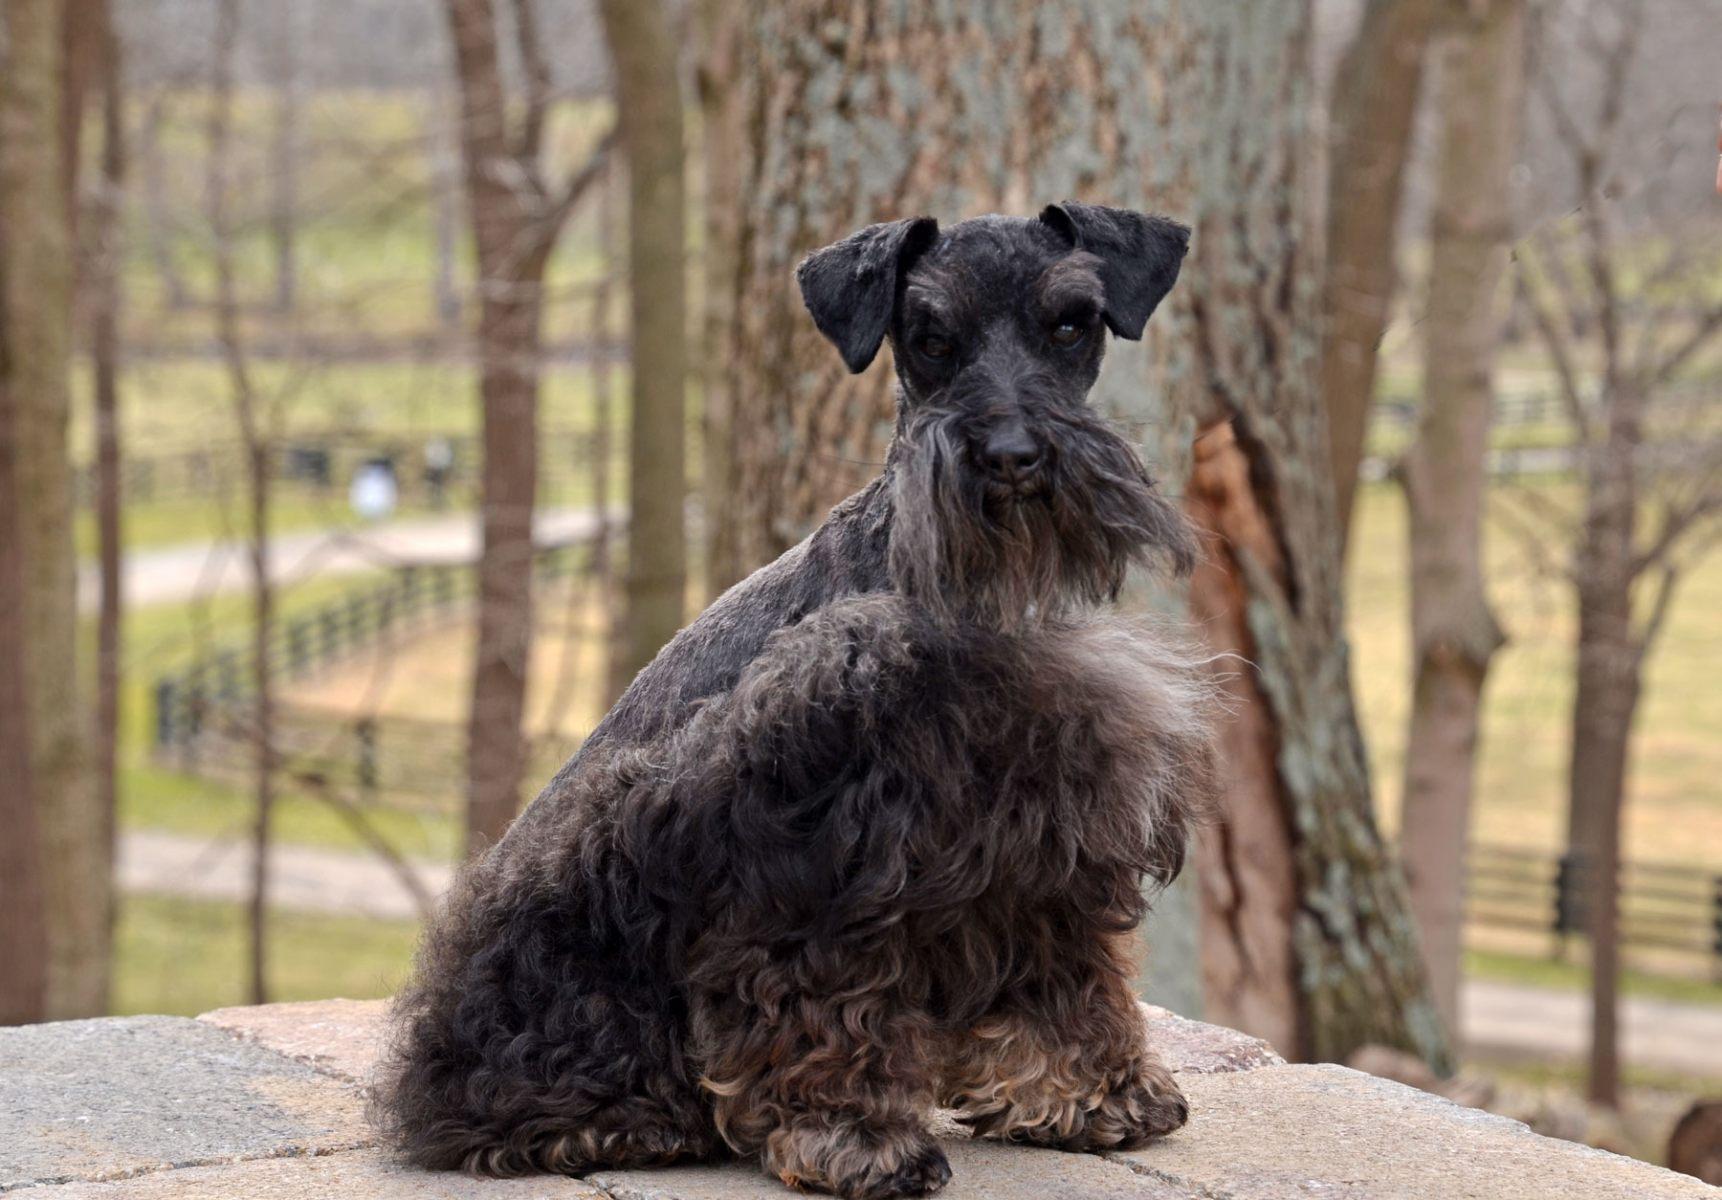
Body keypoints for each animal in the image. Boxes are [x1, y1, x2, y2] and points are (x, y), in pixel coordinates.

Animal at [371, 204, 1219, 1198]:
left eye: (1071, 323)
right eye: (930, 337)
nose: (1011, 459)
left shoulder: (1052, 829)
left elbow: (1061, 971)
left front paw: (1093, 1095)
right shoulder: (813, 849)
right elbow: (824, 1000)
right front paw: (854, 1135)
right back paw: (610, 1121)